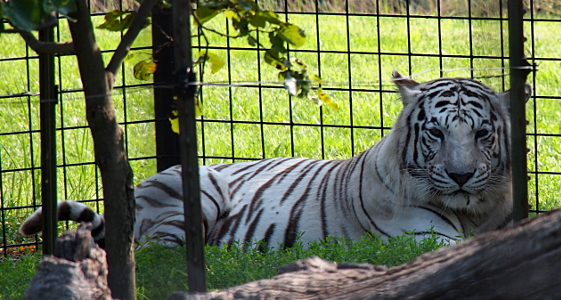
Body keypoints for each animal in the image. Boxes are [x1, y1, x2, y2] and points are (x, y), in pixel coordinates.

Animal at [19, 72, 524, 248]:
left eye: (482, 134)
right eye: (436, 133)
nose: (461, 176)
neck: (475, 211)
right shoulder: (419, 237)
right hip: (196, 188)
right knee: (157, 252)